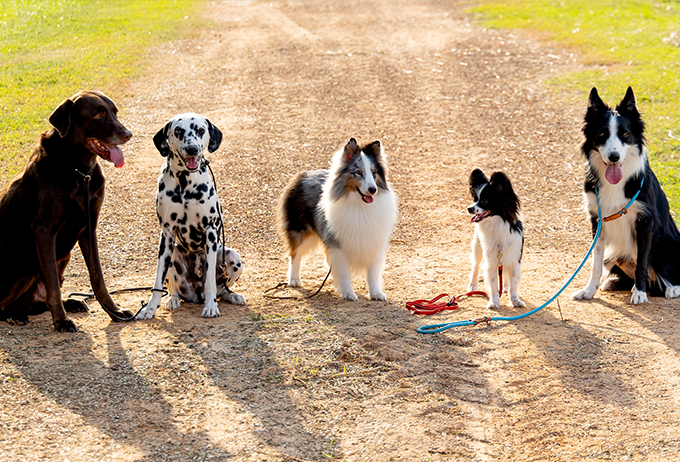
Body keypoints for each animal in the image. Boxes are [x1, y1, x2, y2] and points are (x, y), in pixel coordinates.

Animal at [137, 113, 246, 320]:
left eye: (200, 130)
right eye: (179, 131)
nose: (192, 148)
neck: (184, 182)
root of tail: (196, 295)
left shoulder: (210, 231)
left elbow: (210, 279)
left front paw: (211, 307)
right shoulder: (166, 234)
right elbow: (157, 279)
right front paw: (150, 308)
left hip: (231, 255)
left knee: (222, 289)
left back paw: (232, 296)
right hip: (173, 253)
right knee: (173, 288)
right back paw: (173, 299)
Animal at [468, 168, 524, 308]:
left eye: (484, 201)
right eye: (475, 199)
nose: (469, 208)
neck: (496, 224)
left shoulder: (514, 259)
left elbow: (514, 284)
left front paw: (515, 300)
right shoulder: (491, 261)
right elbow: (493, 283)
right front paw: (494, 302)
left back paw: (505, 286)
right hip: (477, 248)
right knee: (475, 266)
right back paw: (472, 285)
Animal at [572, 87, 680, 304]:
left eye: (625, 134)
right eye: (601, 133)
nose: (614, 157)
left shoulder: (645, 222)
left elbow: (642, 262)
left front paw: (639, 293)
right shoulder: (598, 220)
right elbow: (595, 263)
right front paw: (589, 291)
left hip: (665, 245)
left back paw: (670, 289)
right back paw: (615, 282)